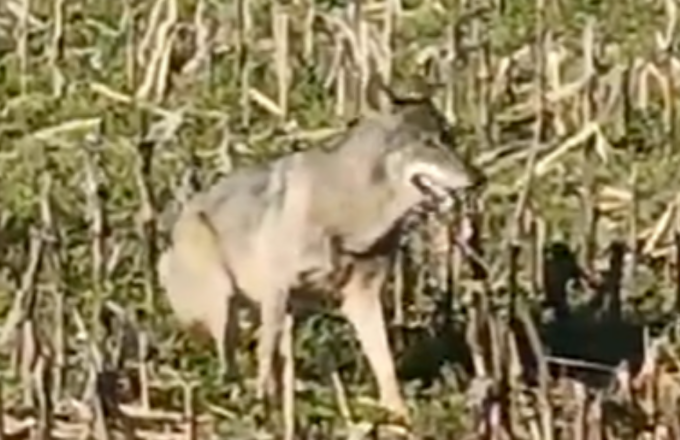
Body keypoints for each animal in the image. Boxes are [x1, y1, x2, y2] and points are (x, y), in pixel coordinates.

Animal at [156, 84, 486, 424]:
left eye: (450, 138)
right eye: (428, 143)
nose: (478, 179)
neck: (353, 212)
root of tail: (172, 231)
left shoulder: (362, 298)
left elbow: (384, 364)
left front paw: (399, 414)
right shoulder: (276, 290)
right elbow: (264, 355)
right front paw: (261, 407)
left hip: (282, 313)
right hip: (225, 304)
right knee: (231, 361)